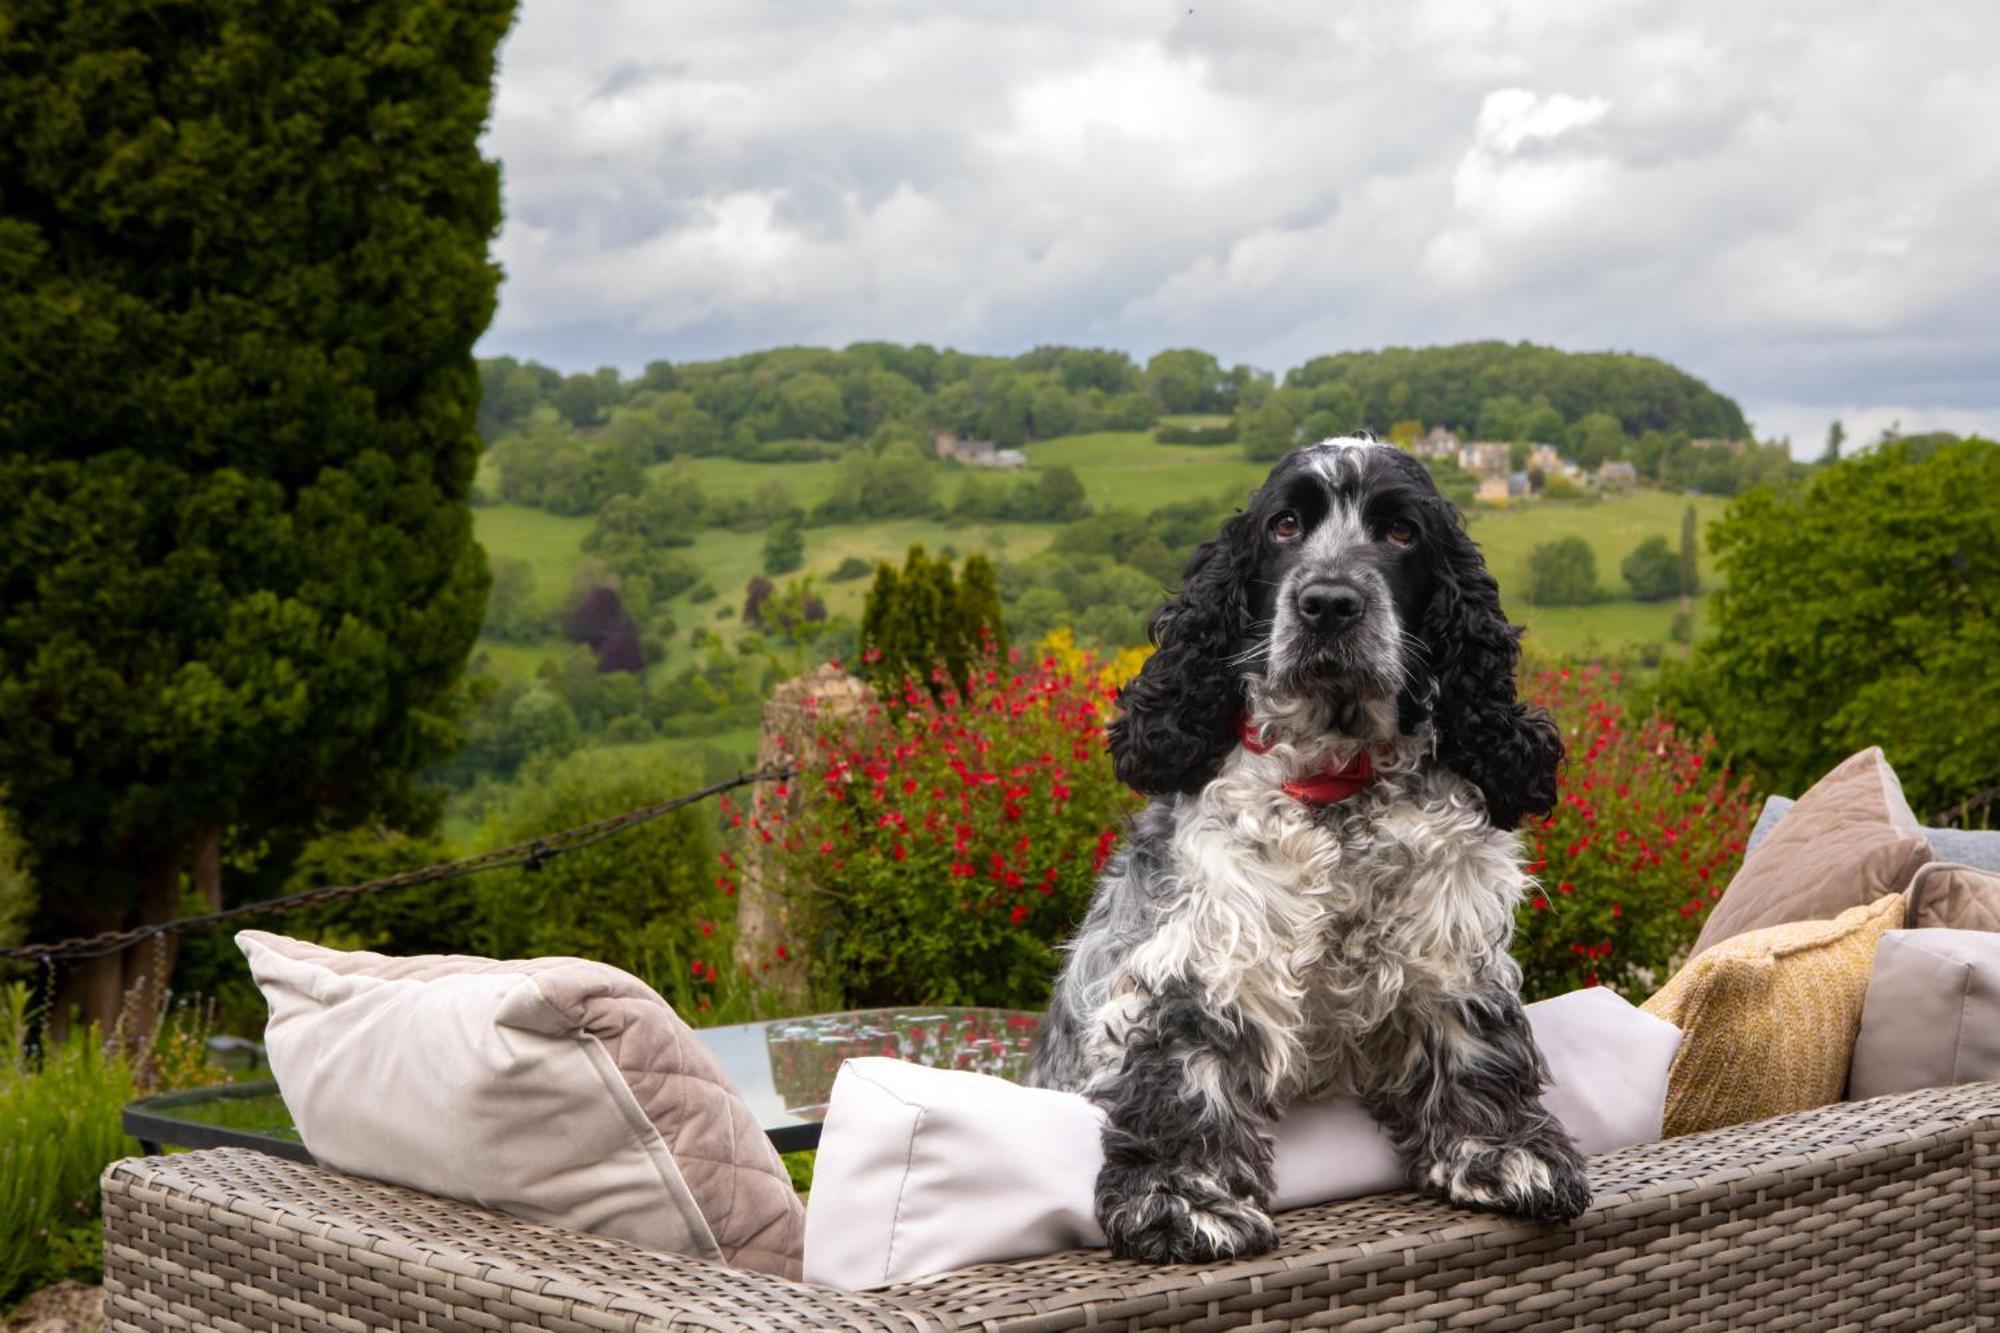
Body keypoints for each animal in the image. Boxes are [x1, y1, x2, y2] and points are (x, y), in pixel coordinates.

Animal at [1024, 434, 1584, 1256]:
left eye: (1402, 531)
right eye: (1284, 524)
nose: (1328, 603)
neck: (1338, 784)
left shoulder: (1448, 940)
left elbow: (1478, 1042)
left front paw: (1502, 1151)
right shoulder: (1209, 949)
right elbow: (1185, 1069)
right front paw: (1181, 1198)